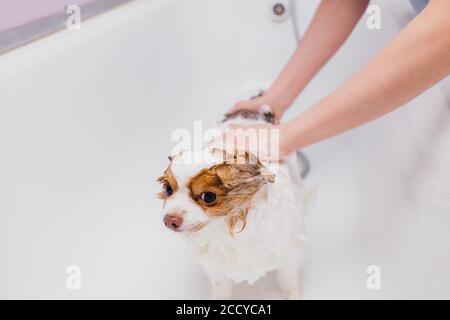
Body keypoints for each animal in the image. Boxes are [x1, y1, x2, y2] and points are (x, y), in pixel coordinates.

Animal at [156, 107, 312, 300]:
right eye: (168, 189)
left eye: (209, 196)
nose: (170, 220)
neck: (228, 225)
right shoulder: (214, 263)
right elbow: (220, 285)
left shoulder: (288, 249)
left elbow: (288, 277)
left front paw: (292, 295)